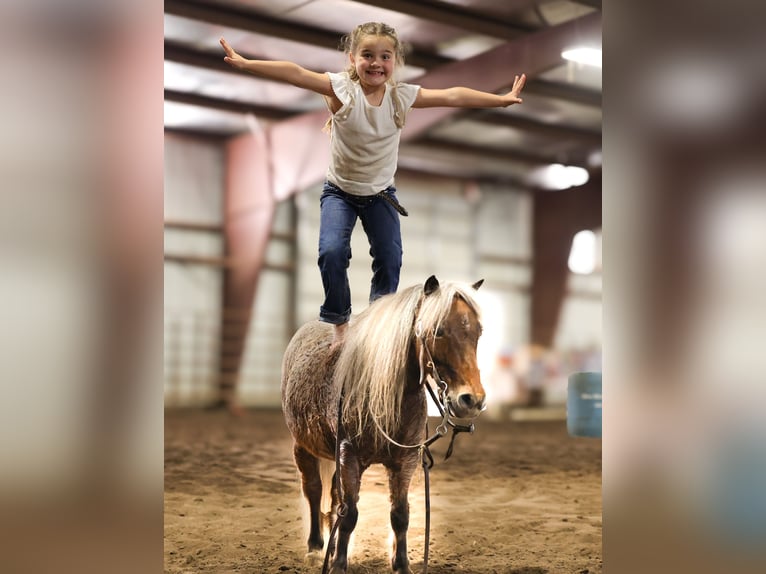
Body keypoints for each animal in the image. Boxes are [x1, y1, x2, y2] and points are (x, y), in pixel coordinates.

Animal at [281, 275, 486, 573]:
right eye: (438, 331)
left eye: (478, 332)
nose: (472, 399)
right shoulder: (349, 456)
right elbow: (350, 513)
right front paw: (338, 564)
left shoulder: (405, 460)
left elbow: (399, 514)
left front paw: (401, 564)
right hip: (303, 446)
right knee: (314, 491)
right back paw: (316, 548)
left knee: (333, 495)